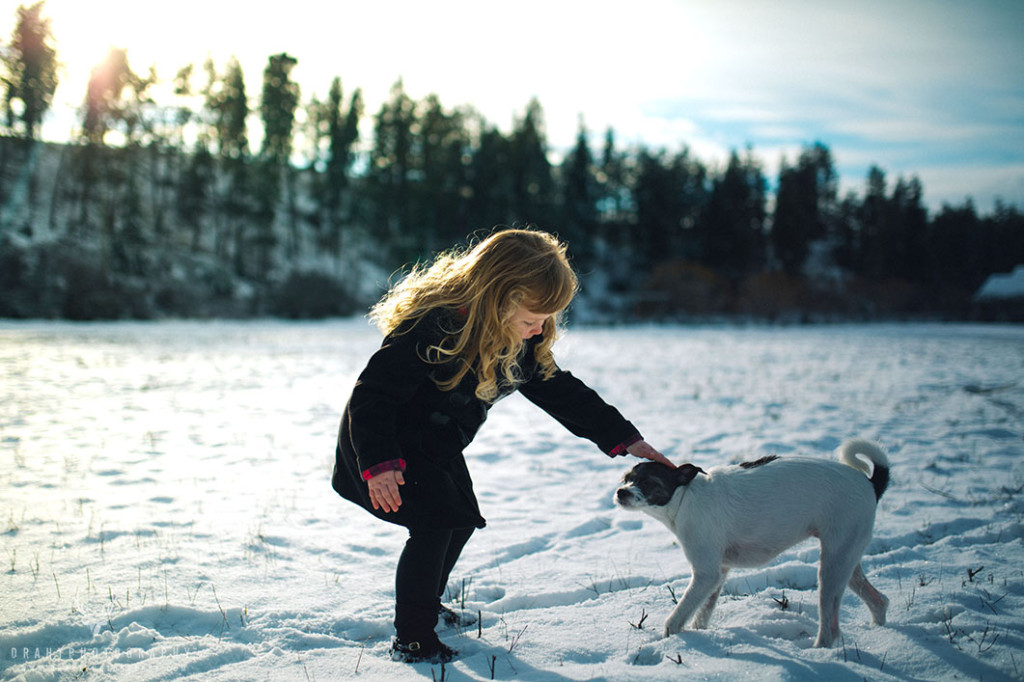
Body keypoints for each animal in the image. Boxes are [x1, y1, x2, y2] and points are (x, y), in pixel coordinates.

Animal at [614, 438, 888, 647]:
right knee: (879, 600)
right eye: (626, 479)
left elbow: (676, 618)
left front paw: (672, 640)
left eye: (648, 483)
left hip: (832, 567)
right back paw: (879, 631)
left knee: (831, 627)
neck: (685, 496)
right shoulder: (719, 572)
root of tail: (869, 483)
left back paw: (819, 651)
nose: (621, 492)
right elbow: (702, 613)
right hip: (846, 559)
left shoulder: (706, 574)